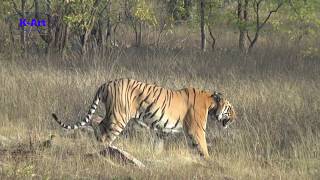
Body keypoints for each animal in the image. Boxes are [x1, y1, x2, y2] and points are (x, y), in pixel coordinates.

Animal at [51, 78, 236, 158]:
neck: (210, 104)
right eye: (230, 109)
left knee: (96, 122)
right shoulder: (196, 129)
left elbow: (158, 145)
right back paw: (104, 151)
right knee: (103, 133)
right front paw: (209, 161)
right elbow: (203, 147)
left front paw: (156, 157)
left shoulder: (163, 130)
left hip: (112, 115)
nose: (236, 117)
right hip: (118, 116)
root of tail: (106, 83)